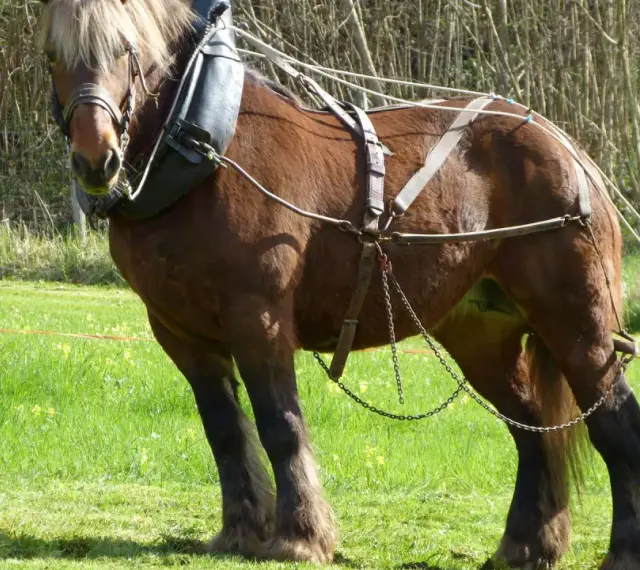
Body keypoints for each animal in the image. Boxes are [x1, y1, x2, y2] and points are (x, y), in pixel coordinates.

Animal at [39, 0, 640, 568]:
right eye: (51, 56)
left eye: (126, 50)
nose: (96, 159)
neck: (207, 151)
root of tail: (568, 147)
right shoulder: (179, 332)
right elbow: (225, 430)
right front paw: (240, 532)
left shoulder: (258, 318)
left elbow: (280, 425)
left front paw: (300, 537)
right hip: (480, 334)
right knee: (532, 429)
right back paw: (526, 546)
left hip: (576, 323)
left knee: (615, 423)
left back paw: (622, 550)